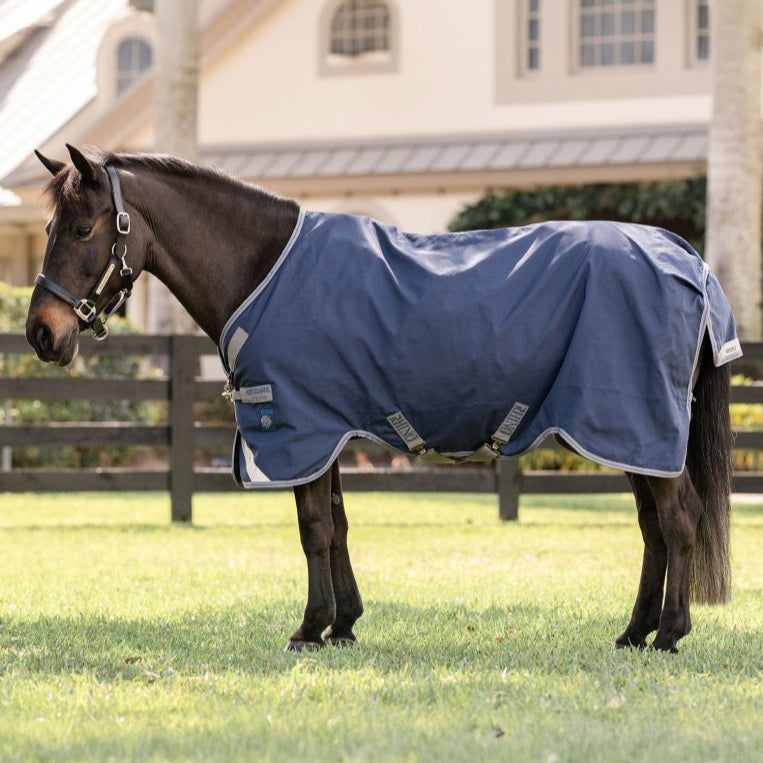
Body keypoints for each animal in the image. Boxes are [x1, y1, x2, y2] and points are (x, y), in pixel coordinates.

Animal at [26, 145, 736, 653]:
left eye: (84, 228)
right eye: (48, 226)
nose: (40, 333)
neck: (261, 268)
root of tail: (687, 258)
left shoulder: (300, 428)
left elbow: (313, 529)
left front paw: (309, 629)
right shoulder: (328, 433)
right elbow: (337, 525)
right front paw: (343, 624)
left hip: (636, 424)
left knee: (679, 520)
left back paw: (669, 634)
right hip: (629, 435)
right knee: (653, 527)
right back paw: (634, 633)